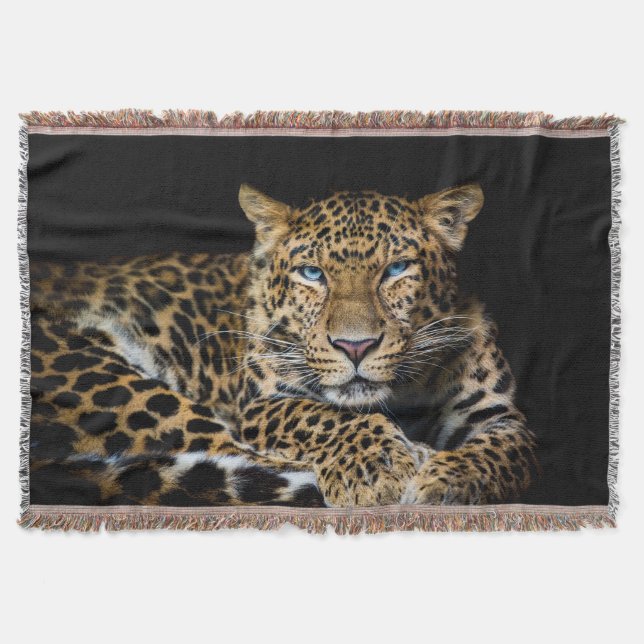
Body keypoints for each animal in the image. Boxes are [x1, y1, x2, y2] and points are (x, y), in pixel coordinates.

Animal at [28, 183, 537, 508]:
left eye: (396, 269)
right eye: (312, 274)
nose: (356, 347)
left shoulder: (498, 415)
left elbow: (505, 454)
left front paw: (446, 482)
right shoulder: (265, 404)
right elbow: (325, 417)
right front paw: (380, 468)